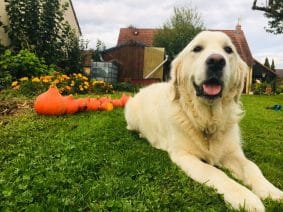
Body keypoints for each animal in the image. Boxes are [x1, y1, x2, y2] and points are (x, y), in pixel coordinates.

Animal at [126, 30, 283, 211]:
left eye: (228, 50)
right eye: (197, 48)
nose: (216, 61)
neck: (208, 119)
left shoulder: (233, 153)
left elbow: (252, 168)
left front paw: (271, 191)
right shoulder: (184, 155)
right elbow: (214, 172)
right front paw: (244, 197)